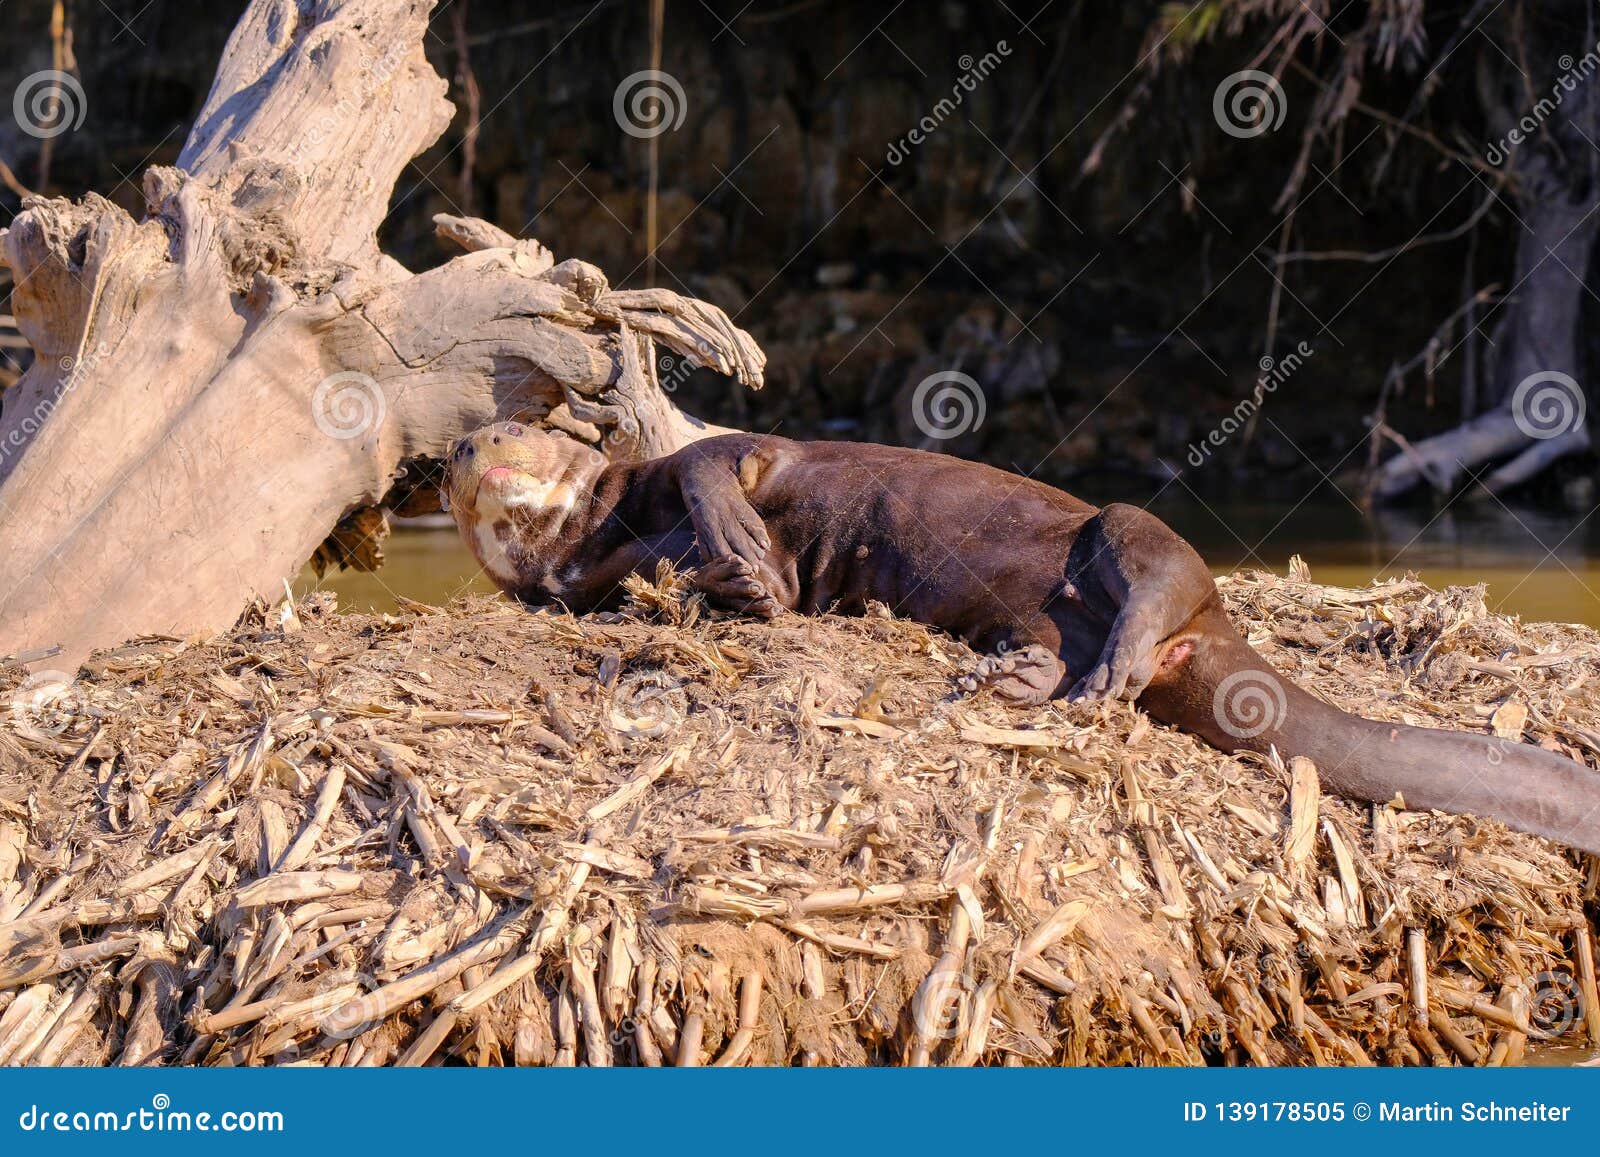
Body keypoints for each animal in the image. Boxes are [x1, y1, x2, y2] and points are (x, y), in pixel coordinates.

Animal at [441, 422, 1600, 857]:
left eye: (520, 427)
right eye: (461, 444)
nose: (469, 444)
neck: (603, 527)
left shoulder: (713, 456)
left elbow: (710, 462)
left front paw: (739, 555)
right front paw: (720, 582)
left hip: (1136, 537)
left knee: (1155, 581)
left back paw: (1097, 670)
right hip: (1028, 608)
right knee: (1061, 647)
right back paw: (1011, 679)